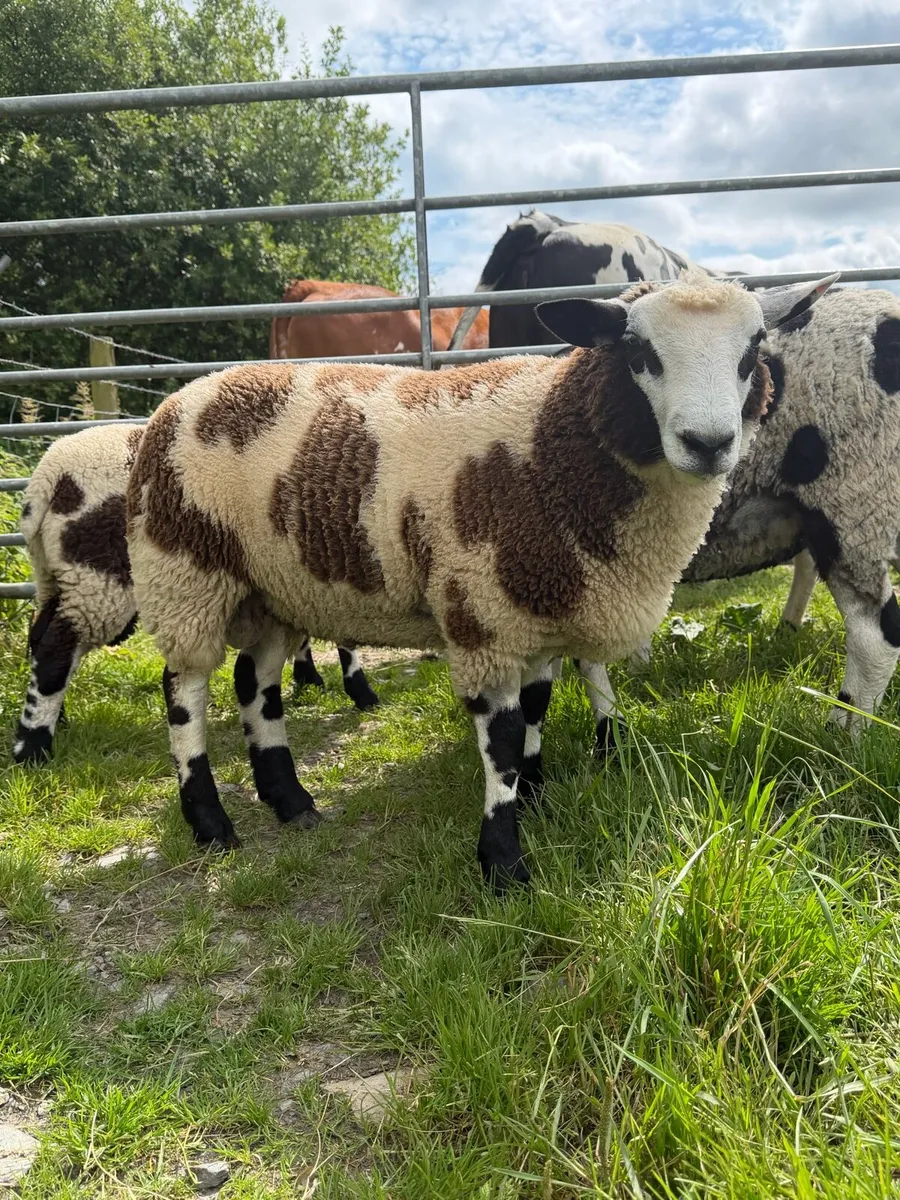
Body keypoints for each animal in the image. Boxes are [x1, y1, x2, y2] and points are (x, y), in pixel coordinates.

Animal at [12, 424, 377, 765]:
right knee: (57, 645)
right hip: (99, 574)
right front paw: (361, 692)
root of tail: (46, 479)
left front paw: (309, 679)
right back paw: (33, 746)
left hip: (56, 575)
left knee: (41, 635)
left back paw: (56, 720)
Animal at [126, 273, 836, 889]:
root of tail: (186, 395)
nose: (708, 442)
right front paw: (504, 862)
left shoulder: (541, 608)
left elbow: (537, 708)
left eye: (752, 350)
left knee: (256, 683)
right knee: (184, 692)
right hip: (185, 567)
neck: (551, 443)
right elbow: (502, 738)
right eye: (637, 350)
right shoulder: (485, 613)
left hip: (272, 585)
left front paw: (537, 794)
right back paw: (211, 823)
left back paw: (290, 800)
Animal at [574, 286, 900, 738]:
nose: (708, 443)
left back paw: (845, 730)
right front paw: (638, 671)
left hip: (854, 501)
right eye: (635, 348)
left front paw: (611, 733)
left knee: (875, 634)